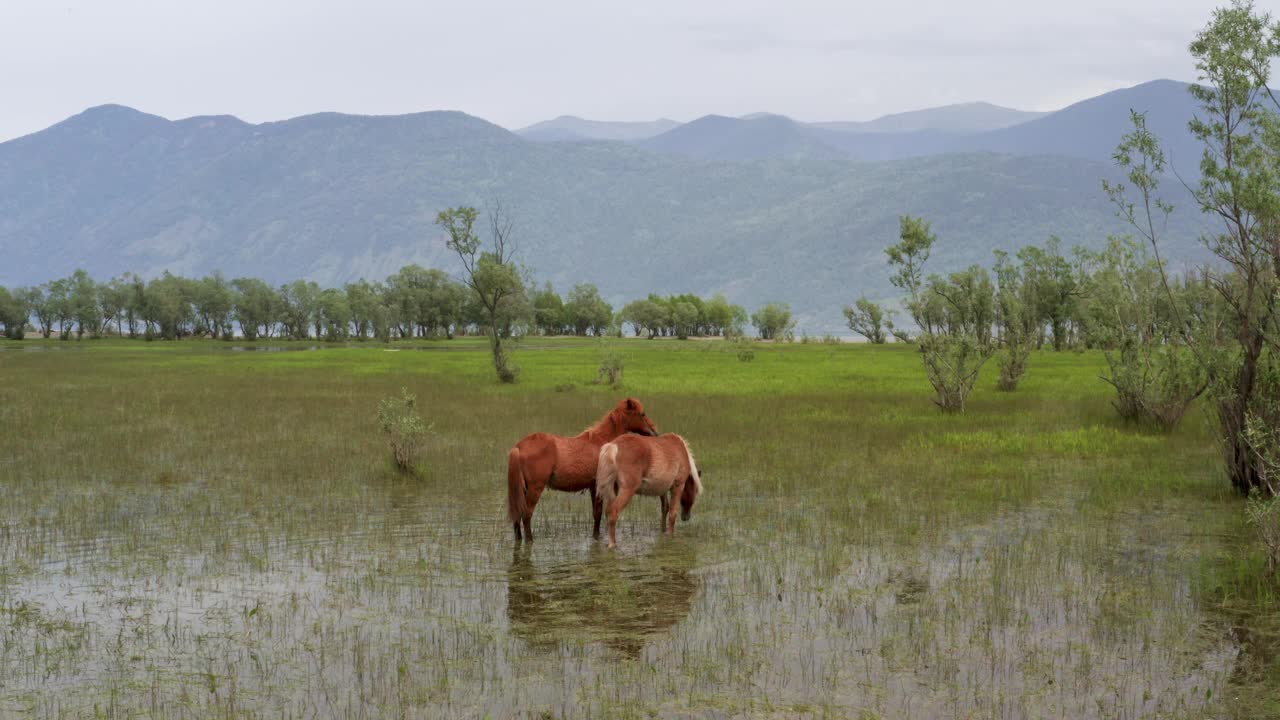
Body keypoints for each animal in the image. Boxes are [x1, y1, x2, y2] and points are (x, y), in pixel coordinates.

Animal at [504, 394, 655, 540]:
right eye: (642, 414)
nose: (654, 431)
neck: (601, 443)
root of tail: (519, 446)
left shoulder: (593, 487)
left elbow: (596, 514)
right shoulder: (597, 486)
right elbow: (598, 513)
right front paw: (596, 537)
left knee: (517, 514)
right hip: (535, 488)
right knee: (526, 514)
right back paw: (530, 539)